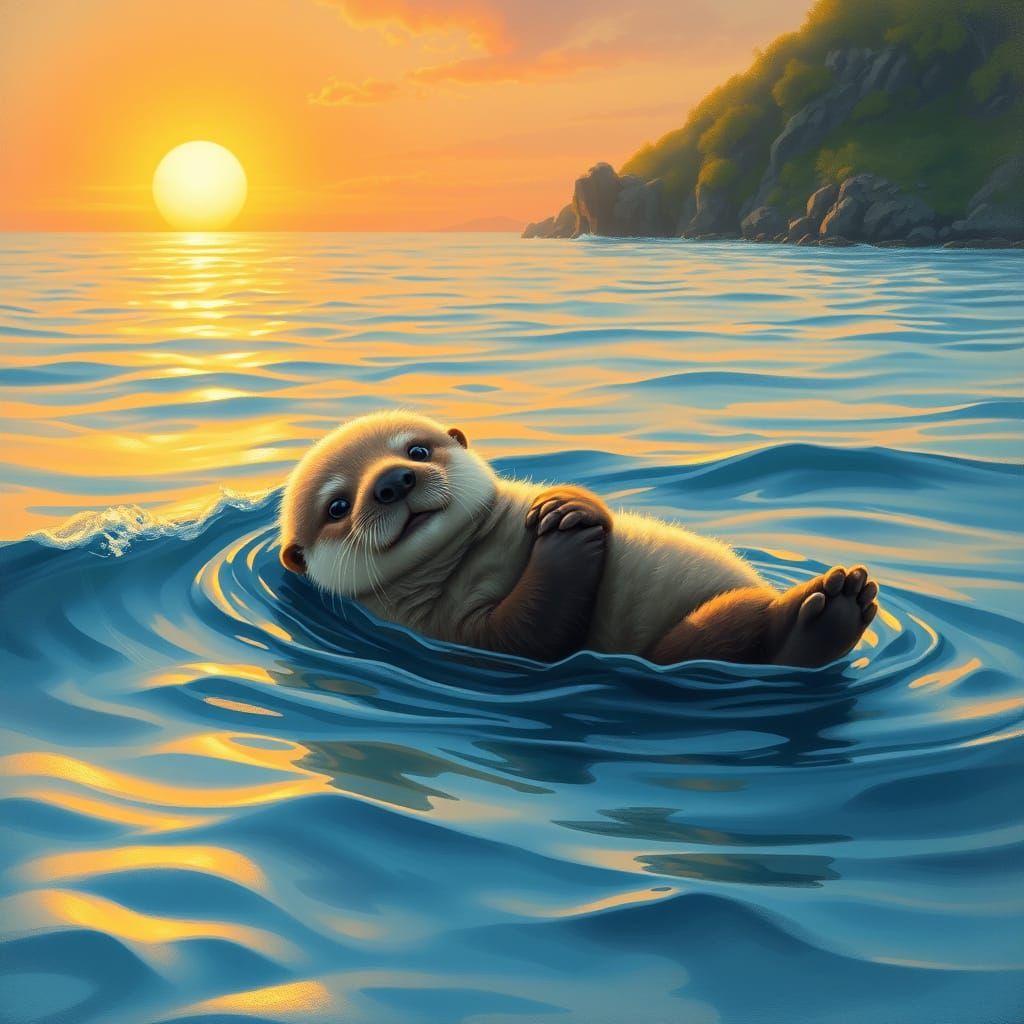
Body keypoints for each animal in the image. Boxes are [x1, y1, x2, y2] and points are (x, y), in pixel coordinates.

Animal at [279, 411, 878, 667]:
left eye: (417, 450)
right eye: (337, 507)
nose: (394, 482)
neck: (469, 551)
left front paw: (567, 504)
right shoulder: (450, 631)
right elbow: (531, 632)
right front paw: (568, 535)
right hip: (685, 645)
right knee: (722, 643)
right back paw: (825, 614)